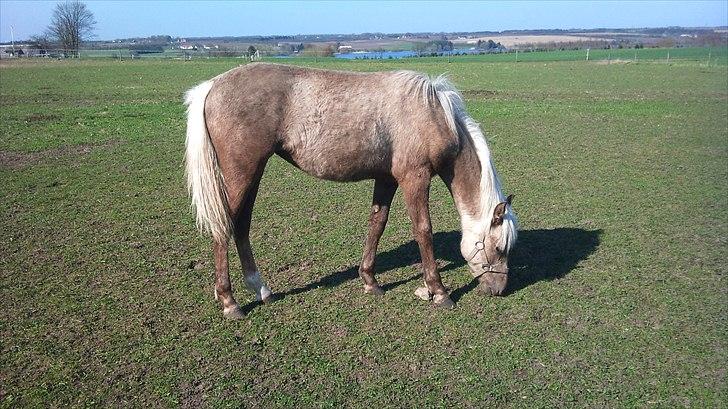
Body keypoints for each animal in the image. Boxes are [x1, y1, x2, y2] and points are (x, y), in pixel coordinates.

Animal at [188, 62, 516, 318]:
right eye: (499, 248)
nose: (500, 290)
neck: (433, 114)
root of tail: (212, 86)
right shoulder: (415, 178)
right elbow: (423, 230)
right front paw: (438, 291)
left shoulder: (386, 179)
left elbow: (377, 224)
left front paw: (370, 281)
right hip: (241, 174)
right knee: (224, 227)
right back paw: (230, 301)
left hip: (252, 174)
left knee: (241, 226)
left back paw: (260, 289)